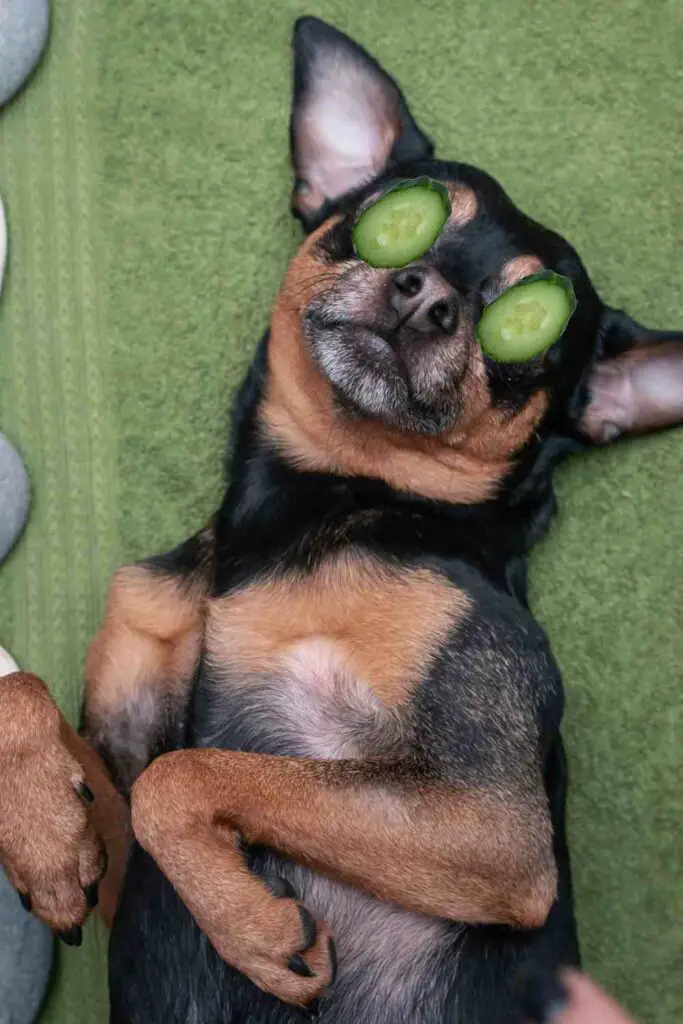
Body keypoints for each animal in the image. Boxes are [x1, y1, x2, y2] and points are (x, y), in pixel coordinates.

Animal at [1, 16, 683, 1024]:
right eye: (399, 213)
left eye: (527, 328)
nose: (428, 295)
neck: (313, 505)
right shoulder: (118, 830)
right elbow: (48, 706)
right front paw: (42, 828)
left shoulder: (492, 827)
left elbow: (189, 771)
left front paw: (253, 930)